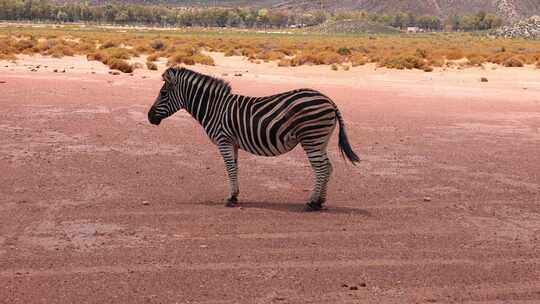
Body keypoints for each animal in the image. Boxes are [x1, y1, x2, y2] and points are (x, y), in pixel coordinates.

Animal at [148, 67, 358, 211]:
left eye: (163, 93)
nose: (149, 117)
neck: (214, 109)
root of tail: (329, 100)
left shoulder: (224, 140)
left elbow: (230, 168)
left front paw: (231, 199)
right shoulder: (232, 142)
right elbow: (235, 167)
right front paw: (235, 195)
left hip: (312, 138)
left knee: (321, 169)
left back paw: (312, 203)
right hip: (320, 140)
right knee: (328, 167)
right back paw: (320, 202)